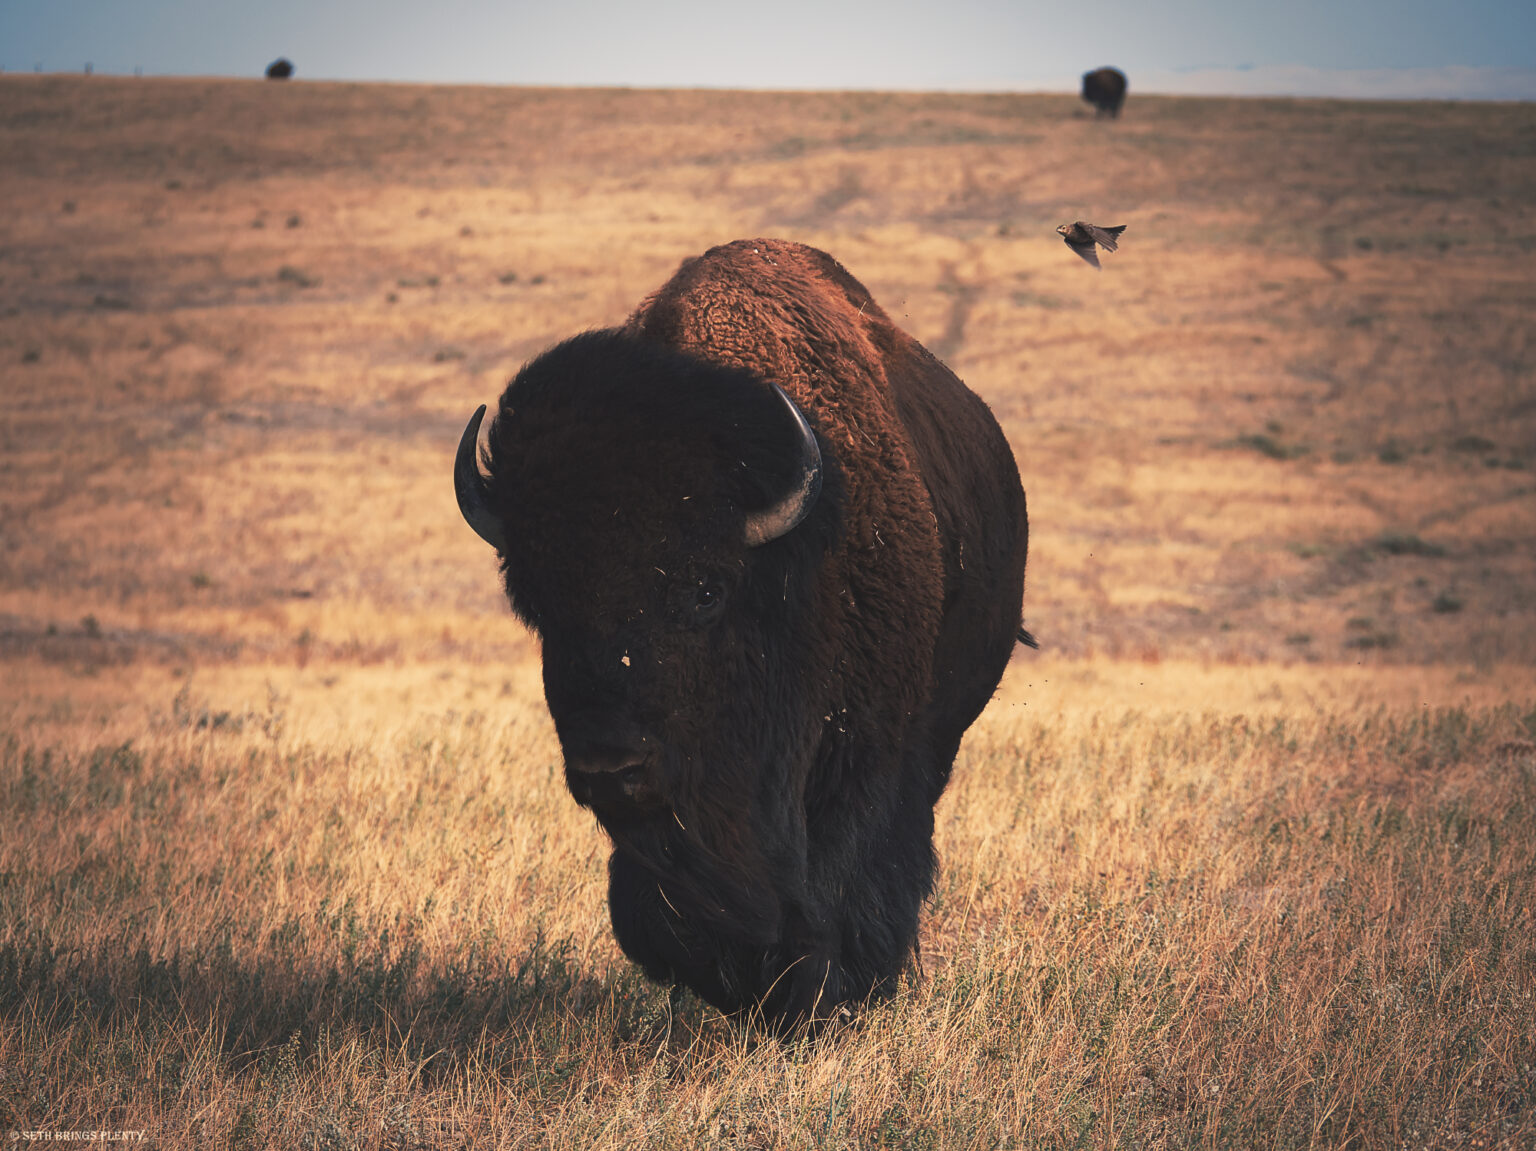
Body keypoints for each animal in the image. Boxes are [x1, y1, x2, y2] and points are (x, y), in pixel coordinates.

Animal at [455, 239, 1030, 1029]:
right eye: (540, 602)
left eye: (705, 590)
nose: (608, 759)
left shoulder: (865, 754)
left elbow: (844, 874)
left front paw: (822, 999)